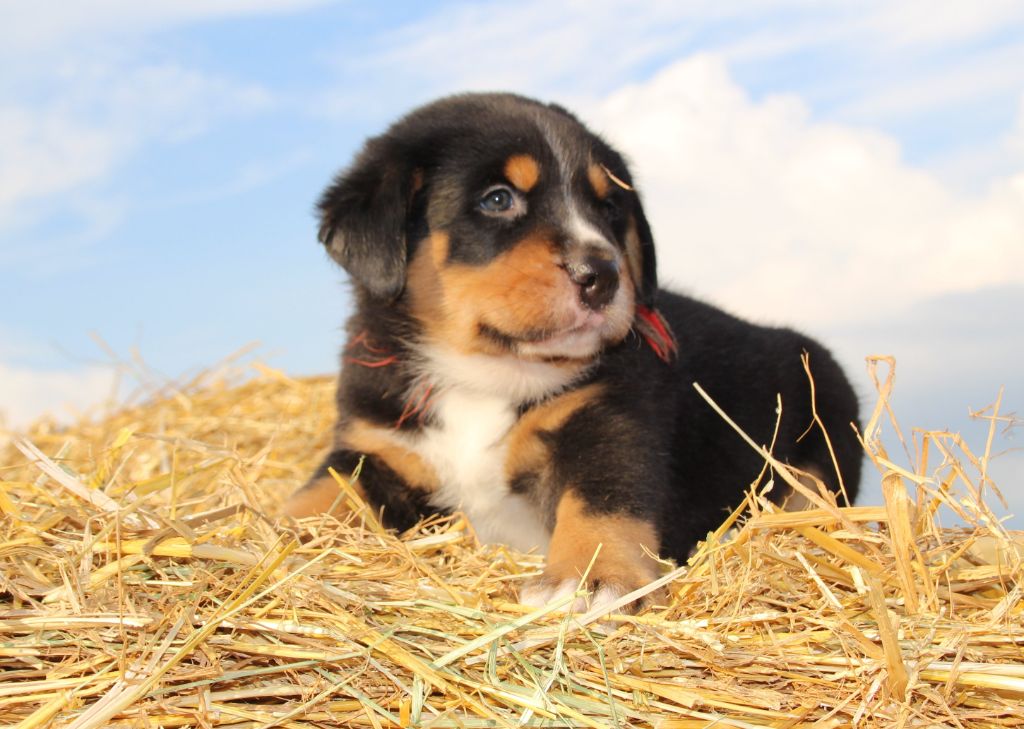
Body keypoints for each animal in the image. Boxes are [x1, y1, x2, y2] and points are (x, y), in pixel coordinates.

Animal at [285, 92, 862, 609]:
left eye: (608, 208)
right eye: (498, 199)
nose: (602, 275)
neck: (483, 374)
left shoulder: (606, 422)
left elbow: (603, 502)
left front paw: (594, 576)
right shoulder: (375, 446)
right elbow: (320, 496)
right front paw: (272, 533)